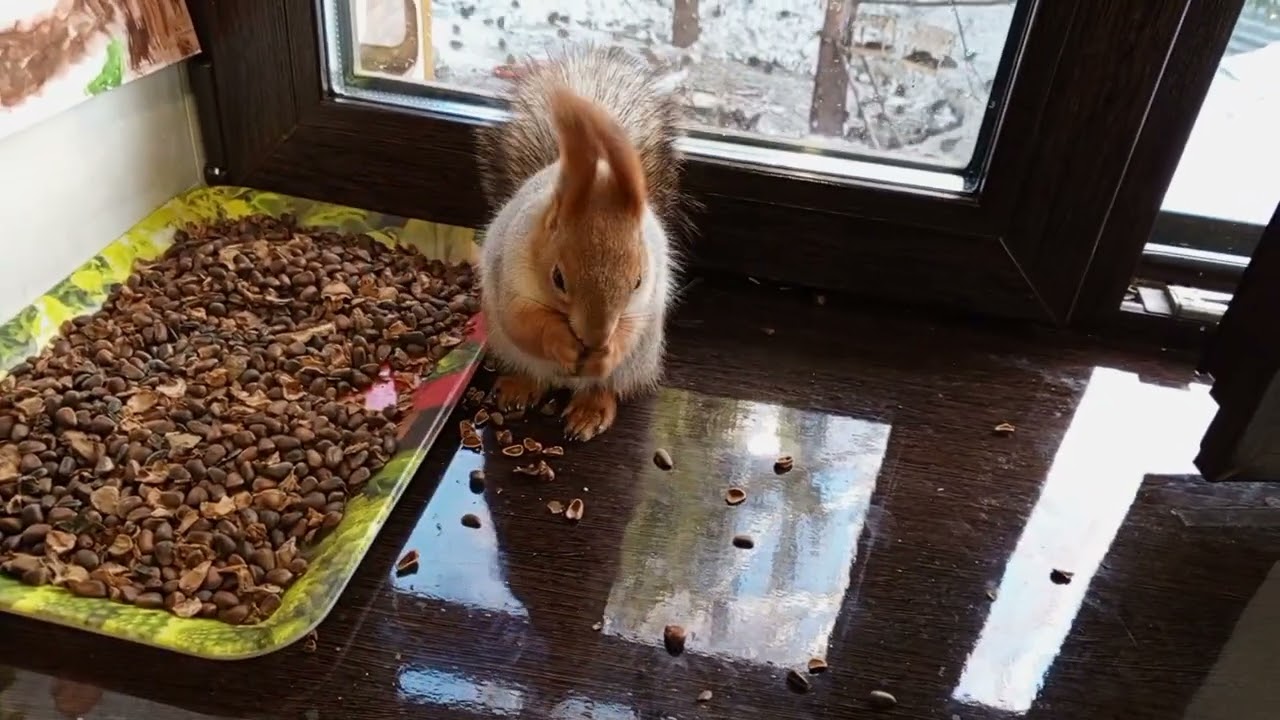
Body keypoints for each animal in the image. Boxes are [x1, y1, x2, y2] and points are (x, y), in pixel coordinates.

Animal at [476, 47, 685, 441]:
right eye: (558, 278)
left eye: (637, 280)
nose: (596, 339)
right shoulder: (508, 271)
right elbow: (524, 321)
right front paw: (561, 342)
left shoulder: (646, 298)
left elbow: (630, 329)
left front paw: (607, 352)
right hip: (510, 348)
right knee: (533, 371)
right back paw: (519, 388)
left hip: (636, 364)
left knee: (605, 388)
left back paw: (590, 410)